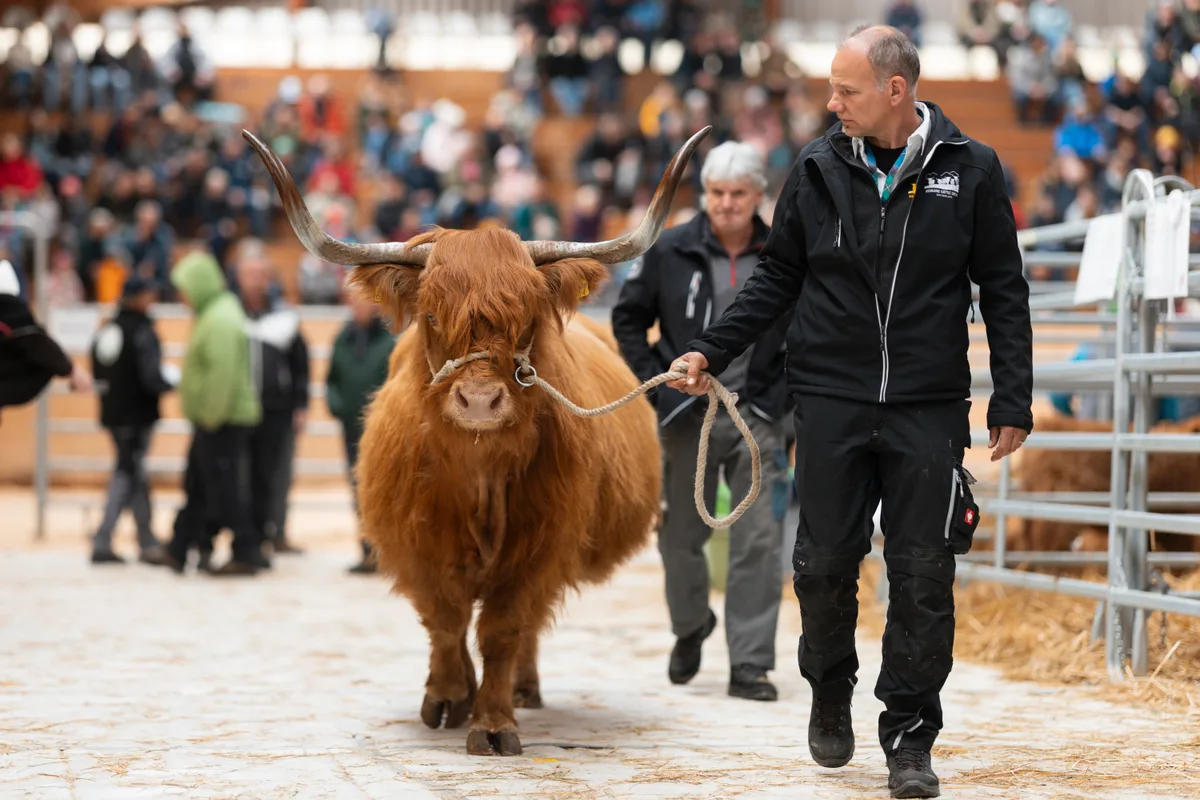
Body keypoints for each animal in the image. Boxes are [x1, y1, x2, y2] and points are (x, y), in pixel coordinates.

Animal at [244, 126, 711, 756]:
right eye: (432, 317)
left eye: (527, 319)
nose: (481, 401)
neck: (479, 472)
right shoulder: (419, 541)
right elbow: (445, 620)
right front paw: (446, 697)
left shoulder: (539, 544)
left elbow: (503, 628)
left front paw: (492, 722)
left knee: (527, 625)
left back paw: (523, 689)